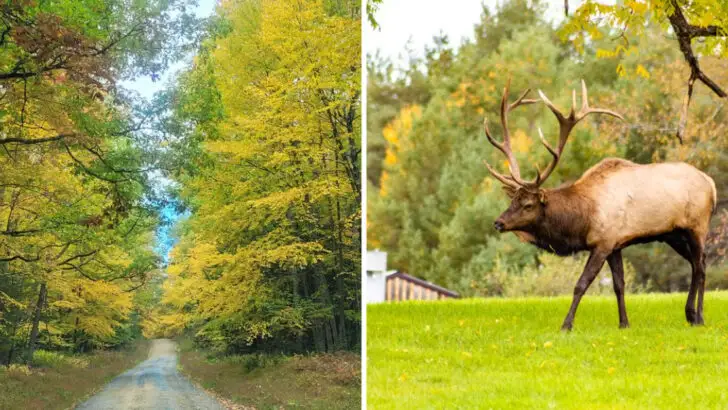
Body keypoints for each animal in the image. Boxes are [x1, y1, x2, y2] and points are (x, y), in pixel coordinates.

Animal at [484, 80, 717, 331]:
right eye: (512, 200)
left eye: (527, 204)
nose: (498, 222)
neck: (582, 218)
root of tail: (711, 184)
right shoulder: (616, 244)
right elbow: (619, 285)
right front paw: (624, 323)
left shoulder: (603, 242)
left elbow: (581, 284)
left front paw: (566, 325)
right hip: (672, 234)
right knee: (697, 263)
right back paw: (693, 314)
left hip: (697, 226)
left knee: (700, 266)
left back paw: (697, 316)